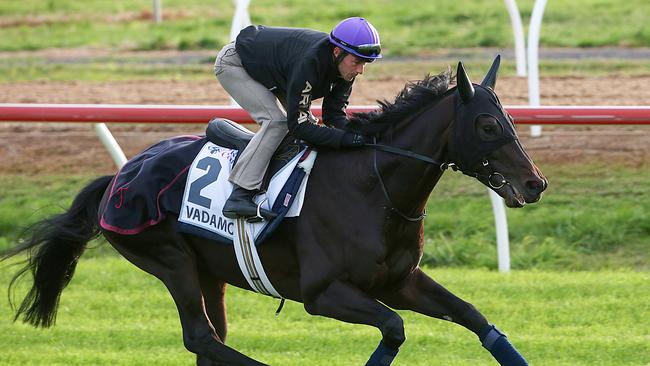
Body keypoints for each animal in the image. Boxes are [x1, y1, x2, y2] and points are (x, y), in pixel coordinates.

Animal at [2, 55, 544, 364]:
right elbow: (394, 327)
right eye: (488, 126)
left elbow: (474, 317)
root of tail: (120, 175)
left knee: (211, 341)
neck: (375, 190)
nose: (535, 184)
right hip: (170, 260)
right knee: (202, 339)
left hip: (209, 271)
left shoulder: (400, 282)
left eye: (511, 120)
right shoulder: (322, 293)